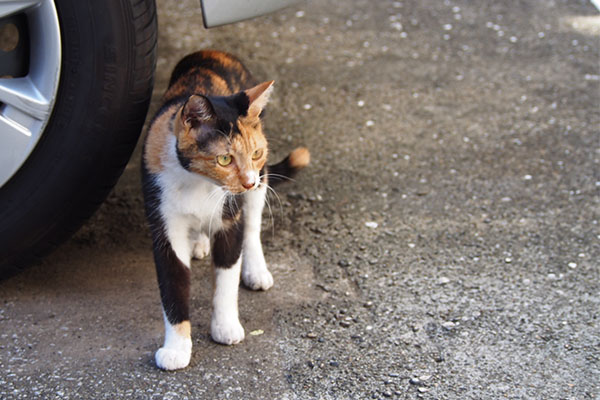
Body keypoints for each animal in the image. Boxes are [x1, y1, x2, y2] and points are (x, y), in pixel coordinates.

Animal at [141, 50, 310, 372]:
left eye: (255, 153)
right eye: (224, 159)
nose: (247, 181)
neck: (197, 183)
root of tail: (216, 53)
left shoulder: (231, 218)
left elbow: (227, 276)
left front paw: (225, 327)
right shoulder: (164, 224)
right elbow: (172, 286)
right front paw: (176, 348)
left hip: (261, 184)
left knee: (253, 226)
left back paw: (256, 269)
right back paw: (199, 242)